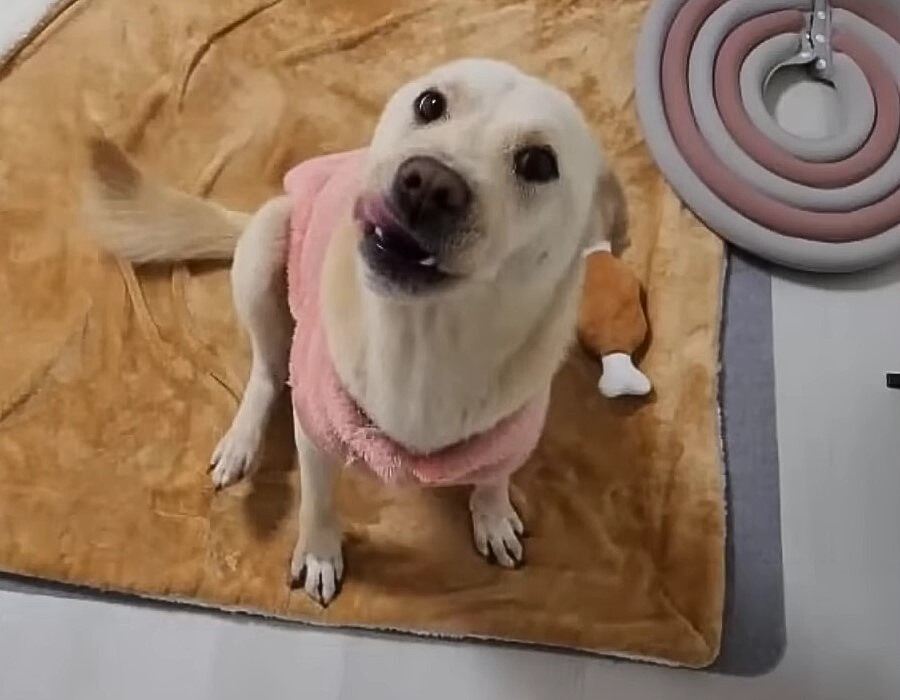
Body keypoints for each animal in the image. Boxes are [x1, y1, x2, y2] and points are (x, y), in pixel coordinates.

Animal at [88, 58, 628, 608]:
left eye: (539, 163)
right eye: (430, 103)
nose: (428, 183)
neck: (425, 338)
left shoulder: (513, 436)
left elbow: (494, 478)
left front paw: (493, 517)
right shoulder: (316, 432)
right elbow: (318, 500)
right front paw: (320, 553)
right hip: (265, 245)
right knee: (268, 371)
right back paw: (243, 441)